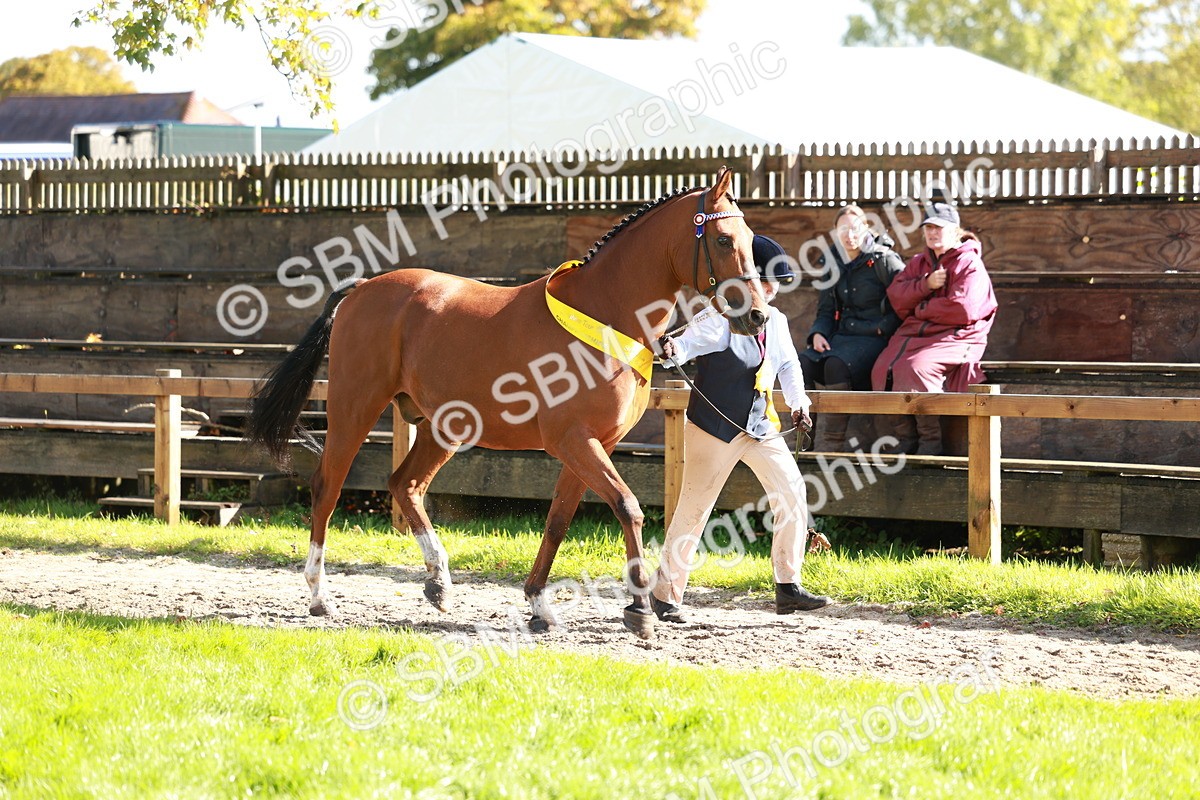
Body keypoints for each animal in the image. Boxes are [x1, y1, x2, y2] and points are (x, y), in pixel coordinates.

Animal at [247, 165, 770, 639]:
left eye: (748, 238)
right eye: (724, 240)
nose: (757, 316)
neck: (607, 313)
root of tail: (360, 290)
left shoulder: (591, 444)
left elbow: (558, 521)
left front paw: (538, 604)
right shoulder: (573, 441)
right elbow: (627, 506)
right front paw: (639, 608)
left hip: (442, 426)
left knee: (405, 484)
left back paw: (439, 582)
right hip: (354, 409)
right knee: (327, 489)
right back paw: (320, 597)